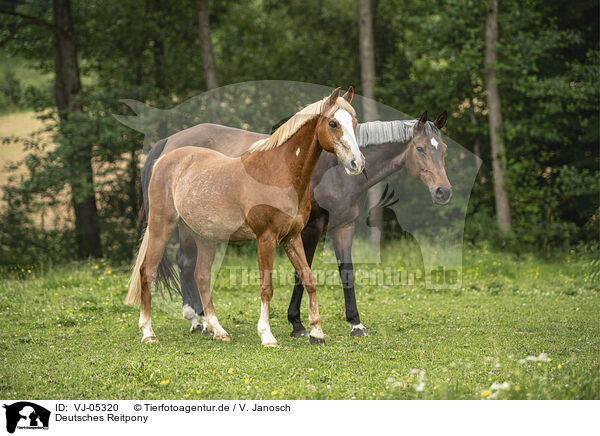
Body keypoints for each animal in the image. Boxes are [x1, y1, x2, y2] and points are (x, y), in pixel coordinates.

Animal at [124, 88, 364, 346]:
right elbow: (266, 287)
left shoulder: (292, 237)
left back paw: (218, 330)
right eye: (333, 123)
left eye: (354, 123)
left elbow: (308, 278)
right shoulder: (266, 238)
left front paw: (316, 333)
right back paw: (148, 332)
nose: (357, 163)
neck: (278, 173)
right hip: (161, 227)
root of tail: (163, 159)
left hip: (203, 237)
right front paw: (267, 335)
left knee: (201, 276)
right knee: (147, 272)